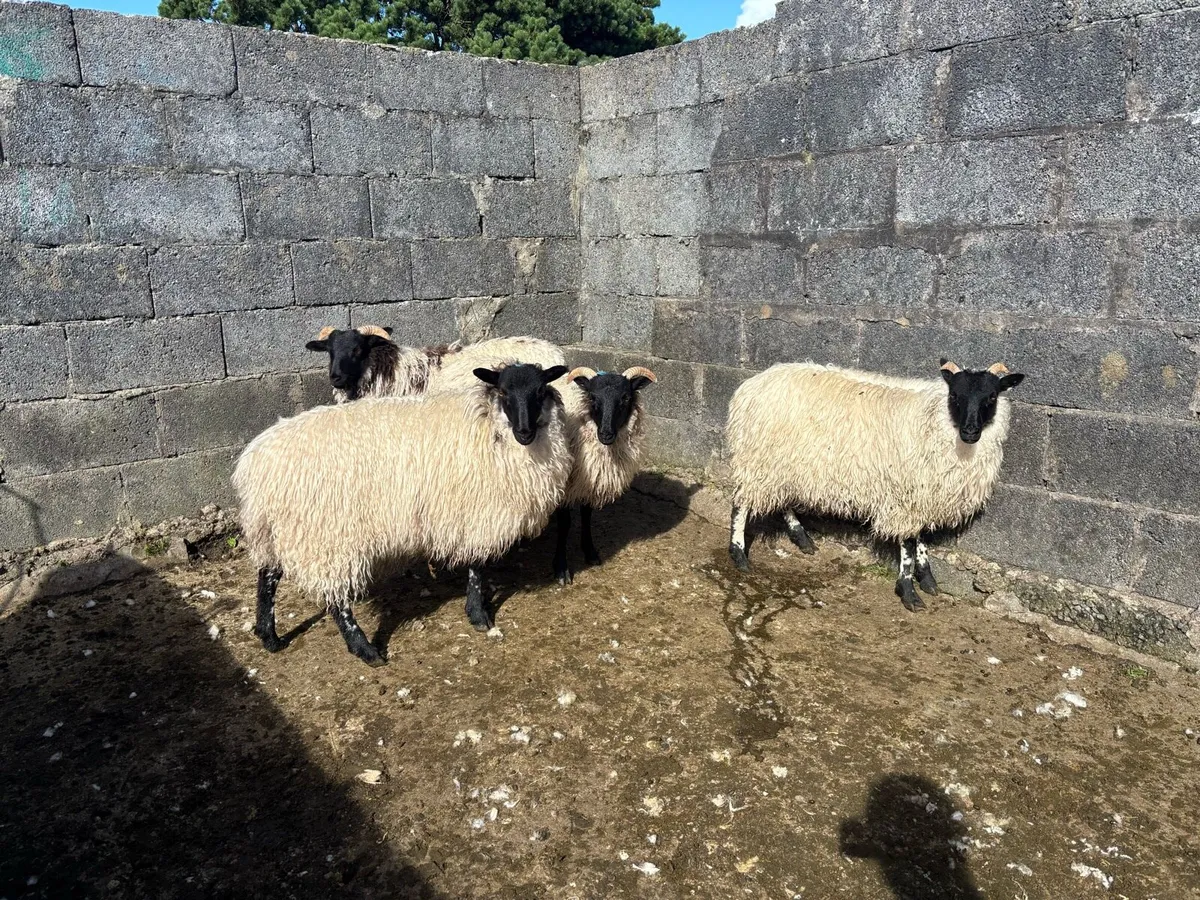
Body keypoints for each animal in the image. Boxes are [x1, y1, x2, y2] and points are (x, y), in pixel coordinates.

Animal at [234, 362, 572, 666]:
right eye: (502, 391)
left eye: (540, 391)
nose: (525, 432)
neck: (489, 424)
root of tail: (256, 463)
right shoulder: (476, 513)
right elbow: (477, 567)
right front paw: (478, 615)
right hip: (325, 534)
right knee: (336, 597)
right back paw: (365, 650)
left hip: (274, 529)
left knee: (267, 576)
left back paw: (269, 637)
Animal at [550, 365, 657, 584]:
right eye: (592, 397)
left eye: (625, 397)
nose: (606, 434)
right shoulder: (563, 485)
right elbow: (565, 524)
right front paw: (561, 567)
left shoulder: (590, 480)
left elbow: (586, 515)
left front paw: (590, 551)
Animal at [726, 359, 1025, 611]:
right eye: (955, 396)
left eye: (992, 396)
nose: (970, 432)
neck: (935, 419)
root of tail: (752, 384)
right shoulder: (906, 494)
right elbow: (908, 544)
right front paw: (909, 591)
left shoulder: (922, 493)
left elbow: (920, 538)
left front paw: (927, 579)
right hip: (758, 459)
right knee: (740, 504)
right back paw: (739, 555)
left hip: (784, 465)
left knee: (783, 500)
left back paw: (802, 538)